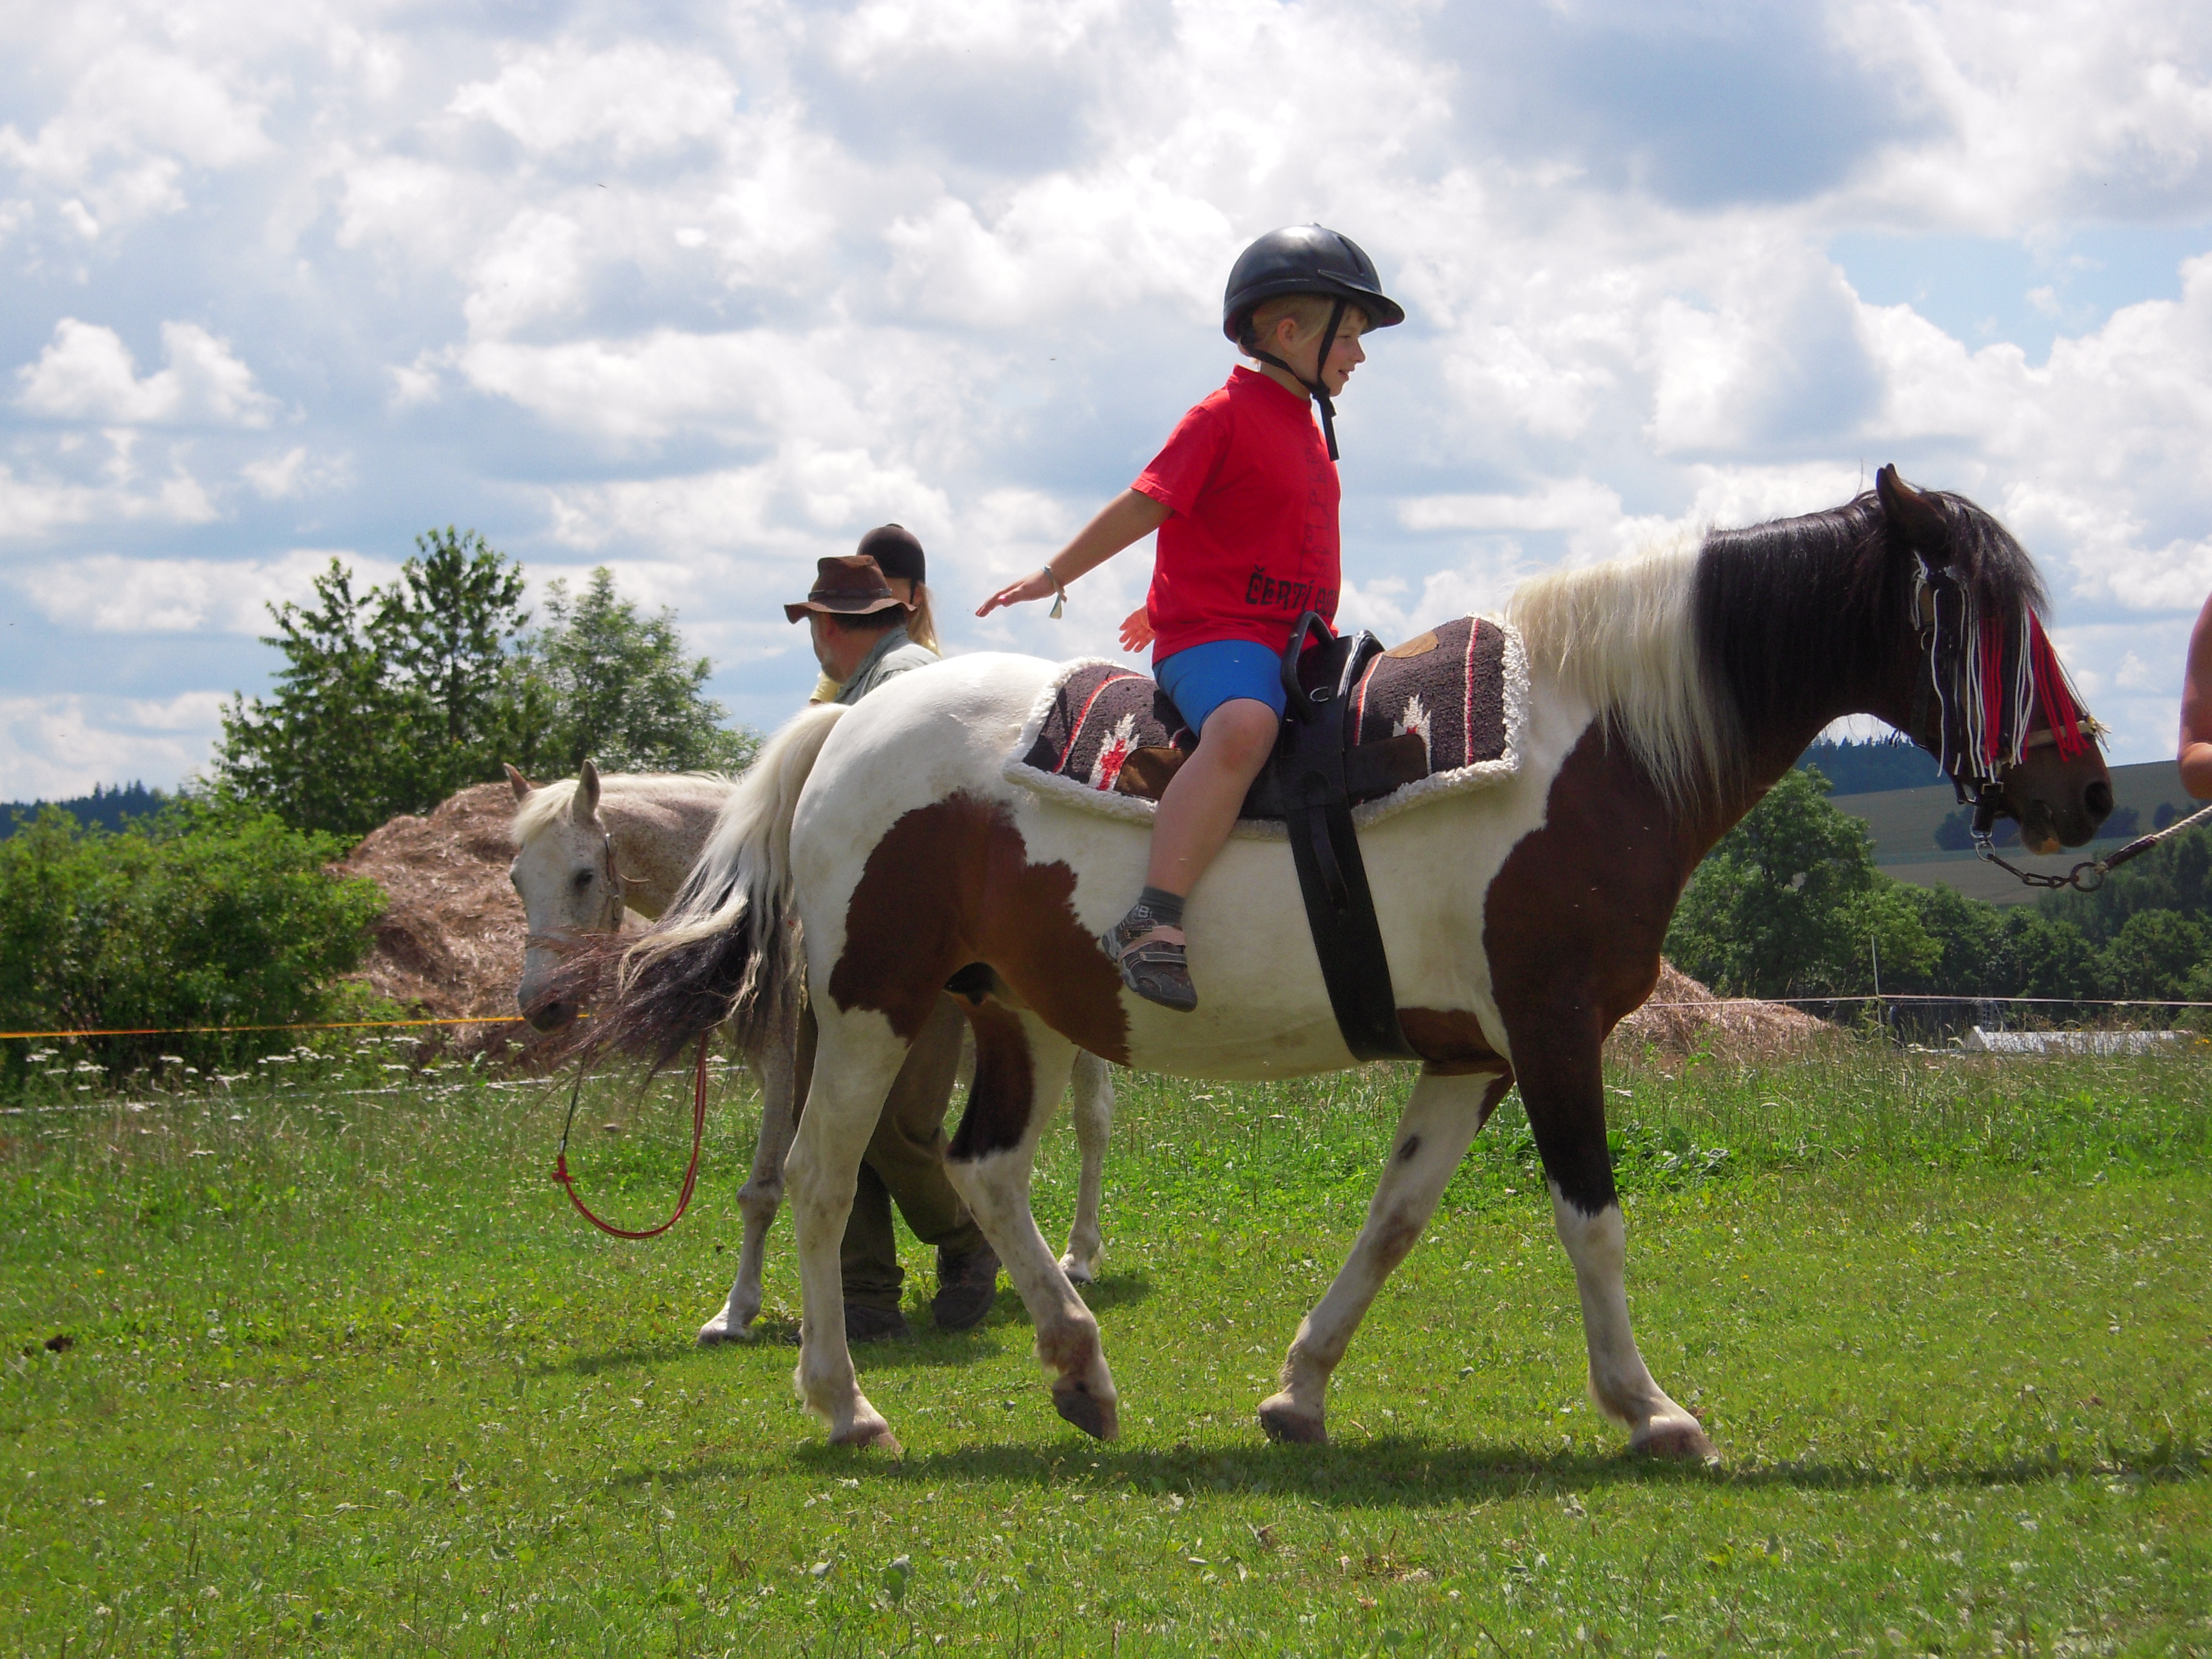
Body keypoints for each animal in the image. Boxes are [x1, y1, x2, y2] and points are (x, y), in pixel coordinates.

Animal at [506, 760, 1117, 1341]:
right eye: (516, 879)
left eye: (584, 875)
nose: (542, 1005)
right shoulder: (789, 1061)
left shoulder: (785, 1058)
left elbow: (763, 1190)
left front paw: (735, 1313)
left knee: (1091, 1126)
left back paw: (1076, 1256)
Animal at [584, 468, 2112, 1456]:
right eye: (1983, 616)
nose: (2081, 788)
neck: (1595, 743)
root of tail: (849, 722)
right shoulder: (1552, 1029)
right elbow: (1593, 1221)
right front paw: (1651, 1408)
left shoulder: (1471, 1051)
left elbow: (1394, 1220)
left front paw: (1300, 1390)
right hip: (872, 1007)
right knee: (824, 1176)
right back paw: (845, 1401)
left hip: (1011, 1009)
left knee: (984, 1167)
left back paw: (1079, 1369)